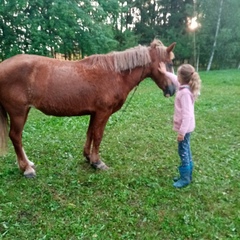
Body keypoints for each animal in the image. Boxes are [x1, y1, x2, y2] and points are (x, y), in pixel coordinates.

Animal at [0, 39, 176, 177]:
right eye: (169, 63)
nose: (173, 89)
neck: (115, 74)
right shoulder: (103, 113)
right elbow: (98, 136)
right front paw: (97, 162)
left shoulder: (94, 113)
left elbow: (90, 133)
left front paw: (88, 157)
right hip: (18, 112)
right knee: (15, 136)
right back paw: (26, 169)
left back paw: (28, 163)